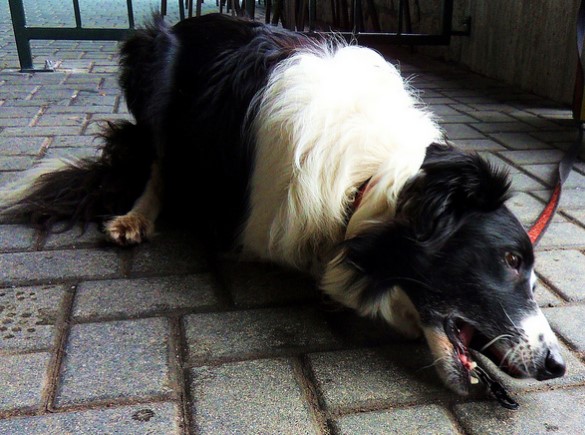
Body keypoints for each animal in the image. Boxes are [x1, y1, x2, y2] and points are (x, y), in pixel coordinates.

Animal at [1, 12, 564, 396]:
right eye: (510, 260)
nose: (558, 366)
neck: (368, 180)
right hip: (152, 60)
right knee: (159, 161)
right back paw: (137, 215)